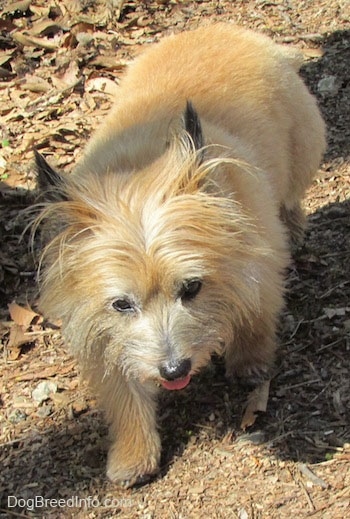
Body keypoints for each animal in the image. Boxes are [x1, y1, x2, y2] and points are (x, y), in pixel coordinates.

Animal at [32, 23, 326, 488]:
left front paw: (250, 362)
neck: (138, 172)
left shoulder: (259, 263)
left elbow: (257, 315)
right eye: (121, 304)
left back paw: (295, 223)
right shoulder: (98, 331)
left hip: (304, 151)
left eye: (192, 288)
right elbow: (123, 393)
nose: (173, 371)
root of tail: (222, 27)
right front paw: (133, 453)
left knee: (293, 196)